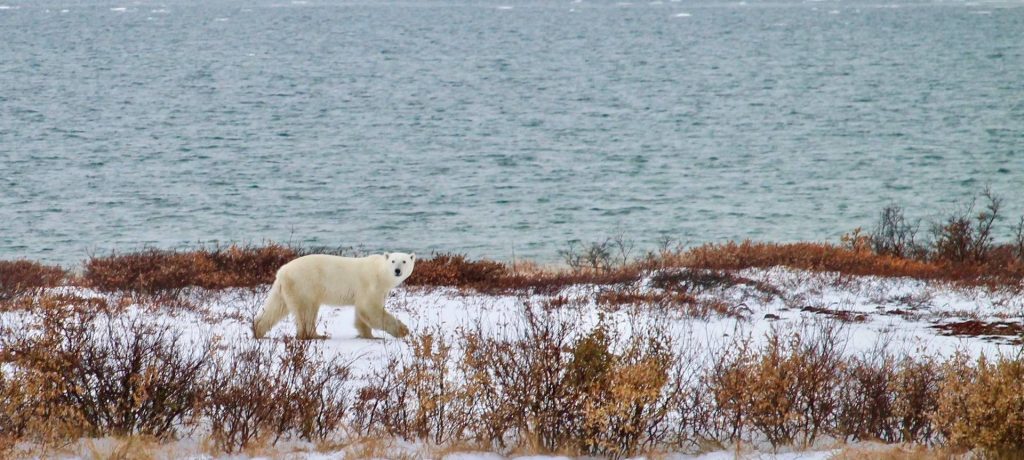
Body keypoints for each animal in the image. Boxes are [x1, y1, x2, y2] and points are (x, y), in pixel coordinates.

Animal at [252, 253, 415, 338]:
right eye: (393, 261)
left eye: (404, 261)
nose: (397, 270)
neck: (380, 272)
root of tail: (282, 271)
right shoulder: (371, 284)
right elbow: (370, 309)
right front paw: (403, 330)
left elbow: (361, 313)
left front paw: (366, 334)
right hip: (304, 284)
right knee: (306, 311)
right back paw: (316, 335)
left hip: (285, 288)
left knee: (276, 307)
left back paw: (257, 329)